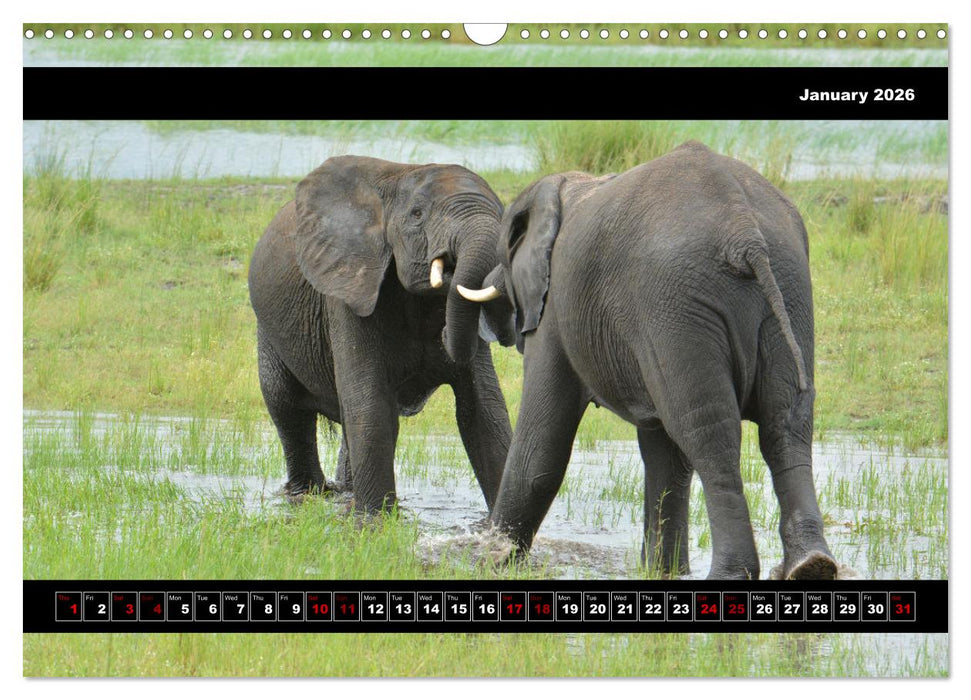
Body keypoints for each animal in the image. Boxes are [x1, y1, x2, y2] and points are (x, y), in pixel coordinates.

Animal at [248, 155, 514, 513]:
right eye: (417, 214)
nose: (444, 335)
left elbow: (484, 411)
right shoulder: (348, 290)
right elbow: (371, 405)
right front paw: (376, 520)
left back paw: (346, 493)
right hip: (268, 329)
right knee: (287, 407)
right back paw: (308, 494)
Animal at [459, 141, 837, 580]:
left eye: (504, 249)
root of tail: (744, 233)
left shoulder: (555, 312)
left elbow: (541, 446)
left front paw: (488, 560)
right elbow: (663, 456)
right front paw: (663, 572)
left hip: (676, 303)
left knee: (709, 433)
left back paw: (730, 574)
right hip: (788, 287)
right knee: (785, 424)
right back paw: (812, 565)